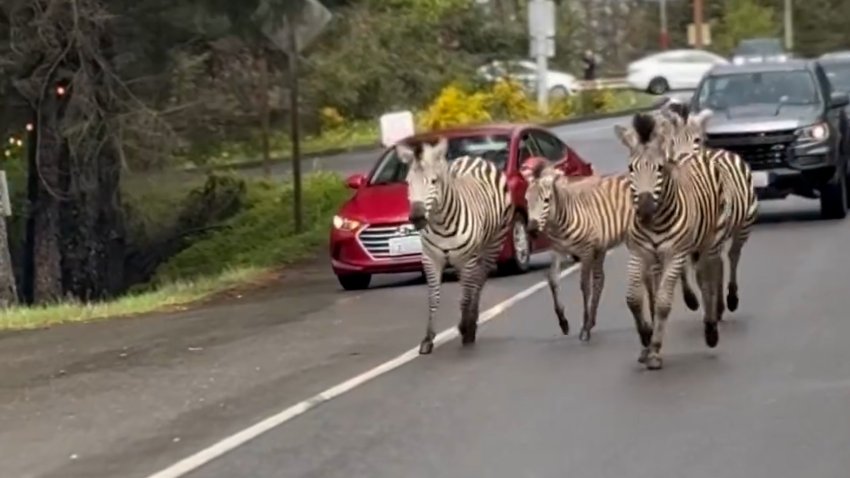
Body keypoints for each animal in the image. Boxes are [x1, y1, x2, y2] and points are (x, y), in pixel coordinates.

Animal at [396, 138, 512, 354]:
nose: (416, 217)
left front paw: (465, 328)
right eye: (408, 182)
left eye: (434, 181)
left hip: (492, 246)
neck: (441, 223)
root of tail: (474, 158)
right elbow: (433, 298)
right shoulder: (430, 258)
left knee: (477, 284)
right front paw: (428, 339)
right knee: (471, 285)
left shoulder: (467, 260)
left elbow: (466, 295)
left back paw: (471, 323)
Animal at [520, 159, 632, 342]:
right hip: (601, 247)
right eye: (526, 200)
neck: (558, 224)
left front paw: (584, 328)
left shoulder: (586, 251)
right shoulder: (557, 250)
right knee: (600, 279)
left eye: (546, 200)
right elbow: (553, 280)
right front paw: (563, 322)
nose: (532, 230)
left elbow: (584, 285)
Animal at [612, 109, 724, 370]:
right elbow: (634, 298)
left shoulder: (675, 254)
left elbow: (663, 302)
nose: (644, 211)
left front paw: (654, 350)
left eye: (660, 169)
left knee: (707, 279)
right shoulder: (639, 254)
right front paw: (646, 337)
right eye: (630, 168)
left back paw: (711, 328)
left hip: (709, 243)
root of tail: (691, 156)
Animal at [660, 102, 760, 316]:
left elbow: (707, 271)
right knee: (719, 263)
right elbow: (687, 270)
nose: (682, 159)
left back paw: (730, 299)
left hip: (743, 227)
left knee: (732, 257)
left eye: (697, 140)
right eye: (672, 142)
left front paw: (712, 306)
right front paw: (691, 299)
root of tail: (721, 151)